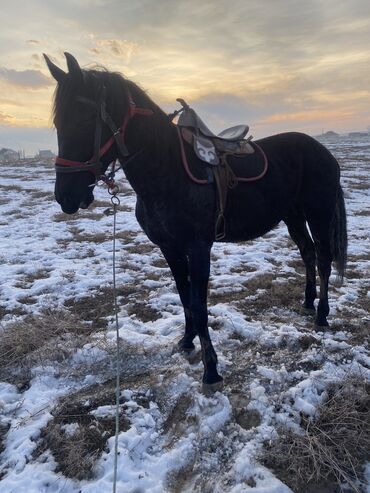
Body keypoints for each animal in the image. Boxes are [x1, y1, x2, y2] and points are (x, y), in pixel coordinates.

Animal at [43, 52, 346, 388]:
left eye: (83, 120)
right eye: (58, 123)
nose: (66, 197)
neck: (167, 169)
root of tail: (324, 152)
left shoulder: (199, 247)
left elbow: (199, 306)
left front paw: (211, 369)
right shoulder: (170, 248)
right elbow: (184, 296)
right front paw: (187, 341)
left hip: (318, 214)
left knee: (323, 258)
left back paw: (322, 315)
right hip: (293, 216)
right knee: (307, 253)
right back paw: (307, 302)